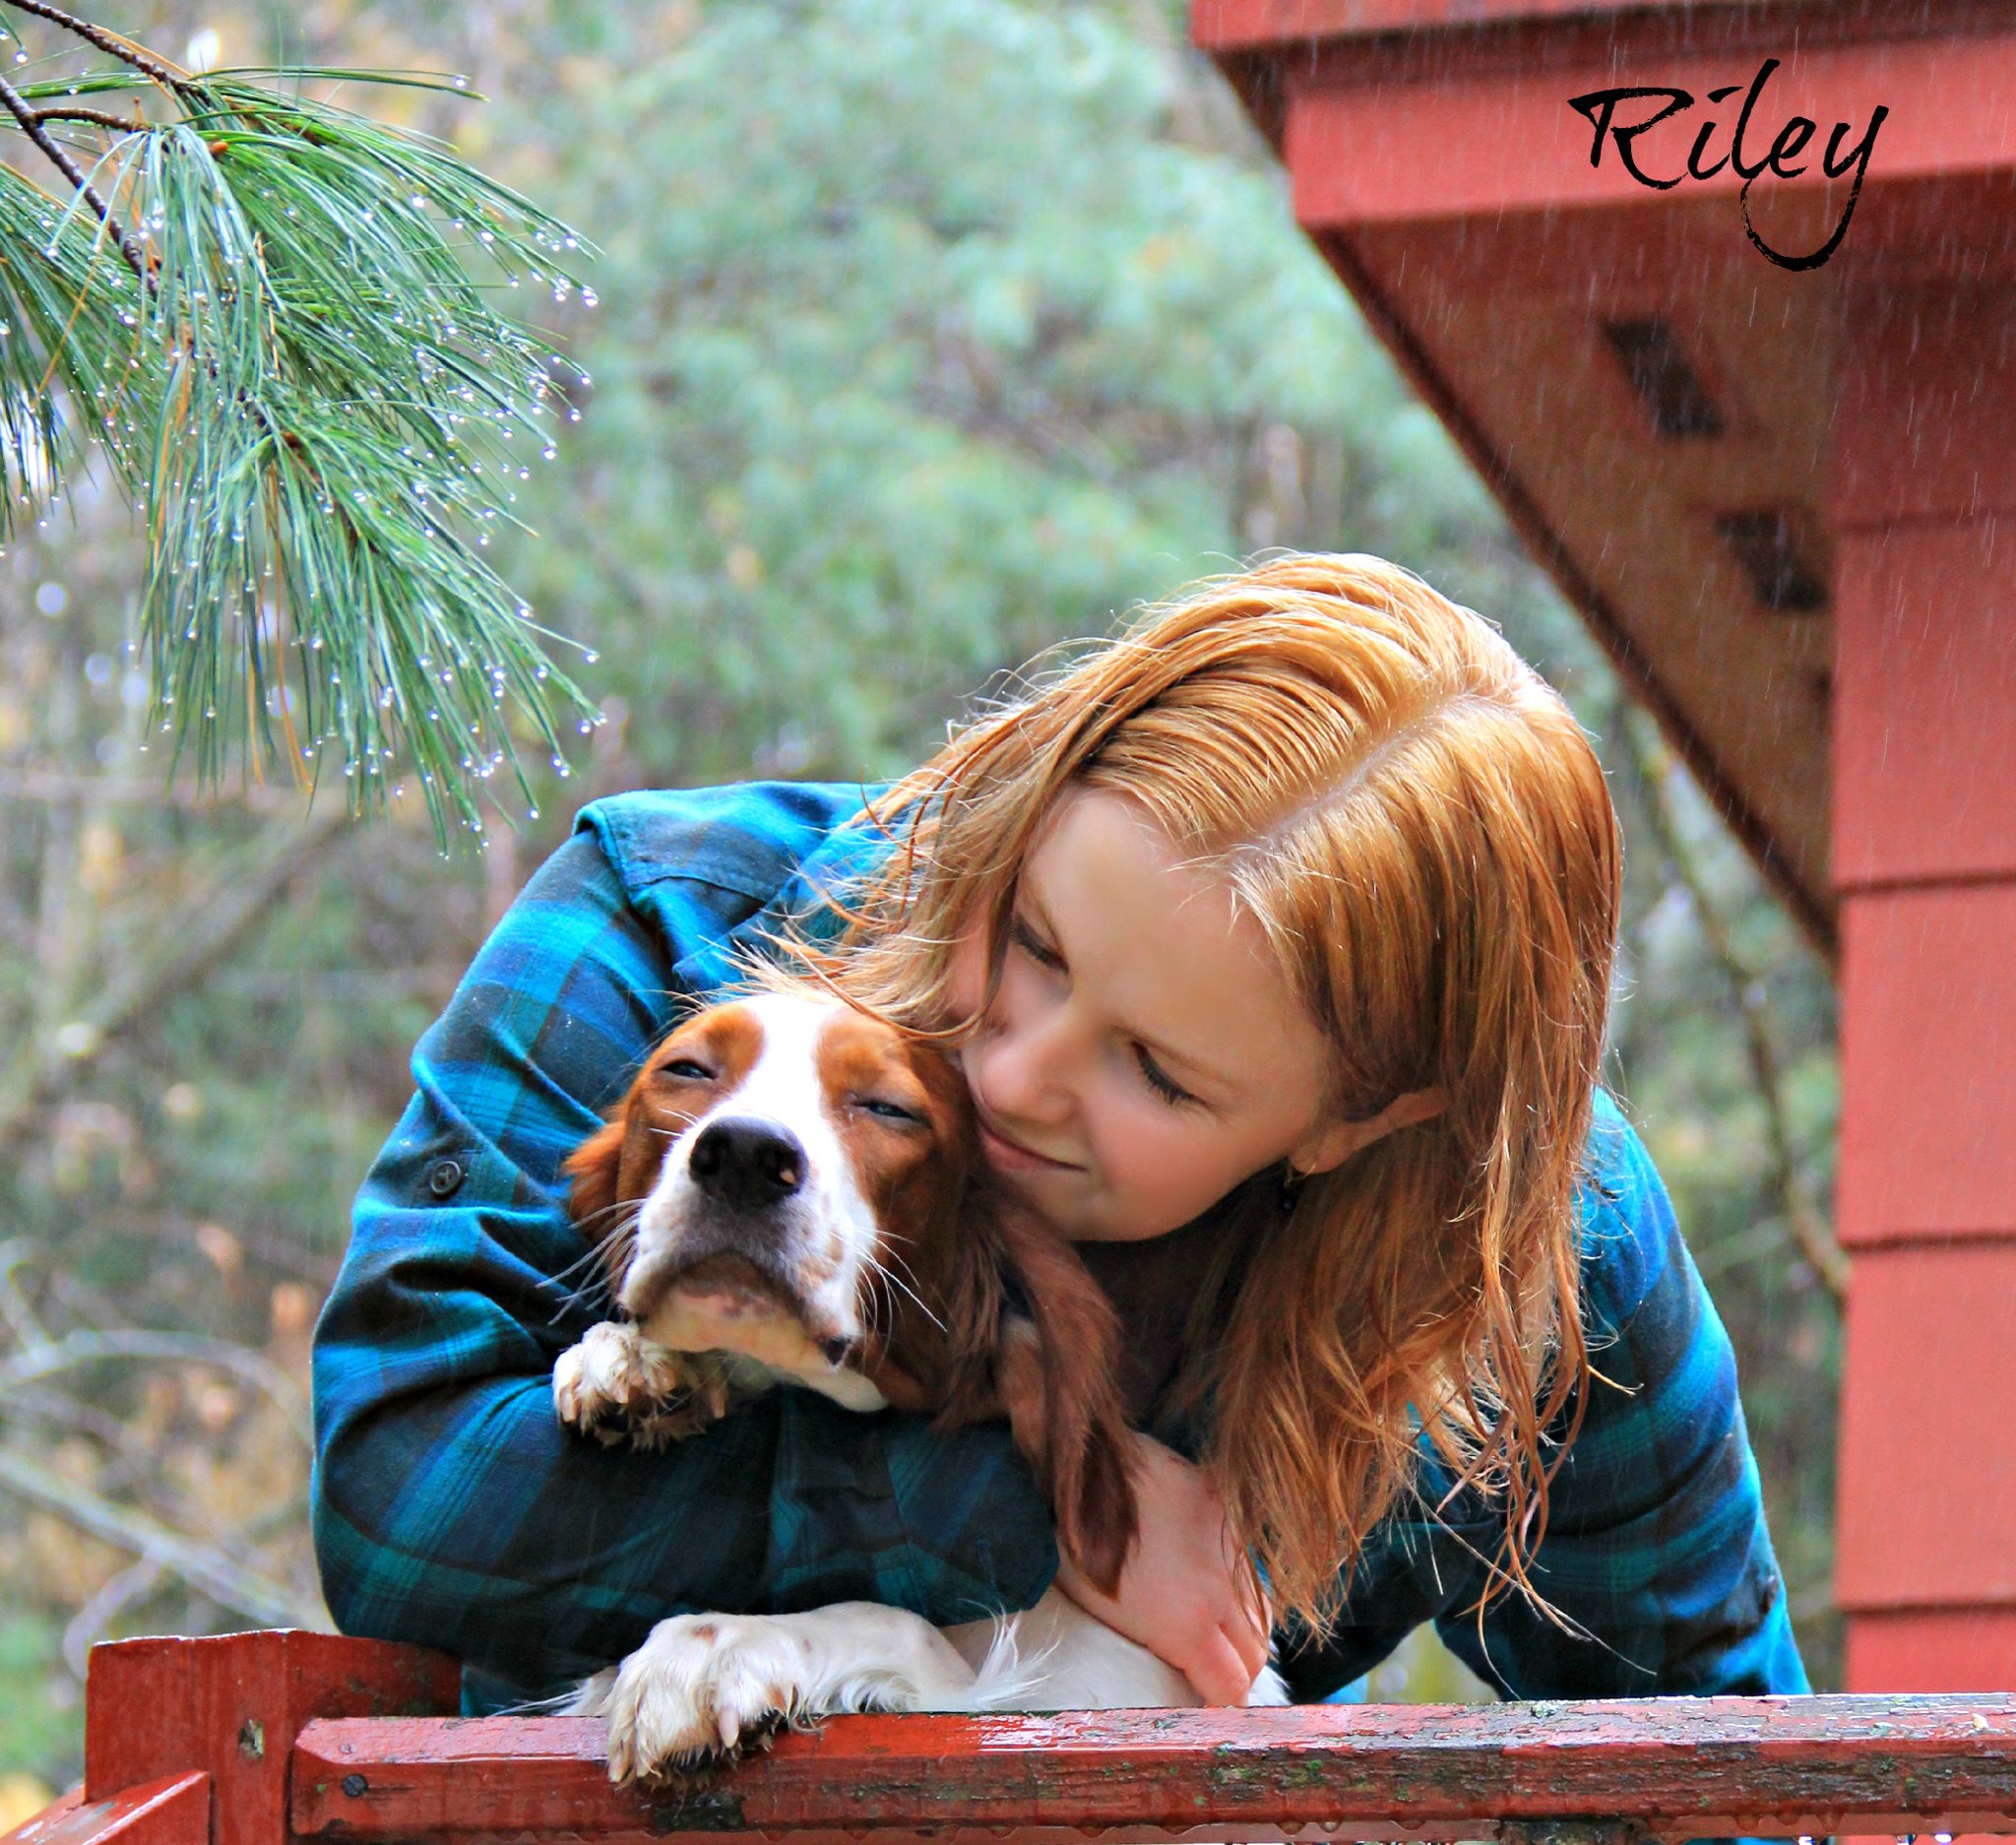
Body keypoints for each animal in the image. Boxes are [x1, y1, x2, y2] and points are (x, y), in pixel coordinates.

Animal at [556, 987, 1274, 1782]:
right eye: (685, 1069)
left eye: (888, 1108)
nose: (744, 1154)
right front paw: (631, 1363)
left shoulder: (1077, 1703)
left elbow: (894, 1621)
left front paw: (721, 1643)